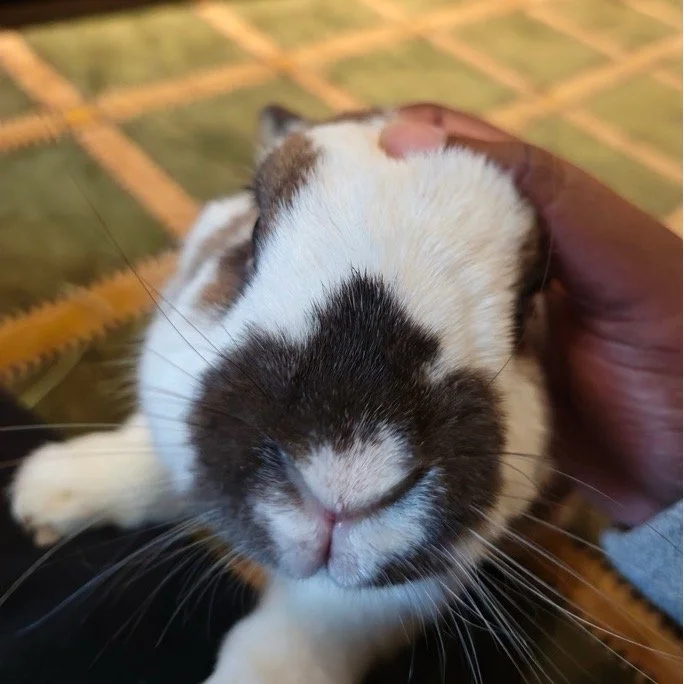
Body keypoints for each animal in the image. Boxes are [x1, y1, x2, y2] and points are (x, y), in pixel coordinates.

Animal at [9, 104, 551, 683]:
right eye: (251, 231)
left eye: (528, 305)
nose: (344, 481)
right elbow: (154, 457)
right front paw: (46, 492)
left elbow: (292, 641)